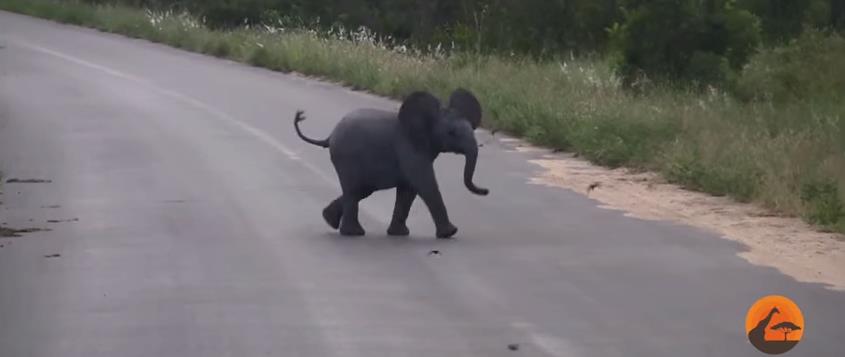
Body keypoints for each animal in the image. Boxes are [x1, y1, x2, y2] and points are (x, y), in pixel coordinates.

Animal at [296, 88, 492, 239]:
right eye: (452, 133)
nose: (486, 191)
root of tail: (330, 136)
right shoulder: (408, 148)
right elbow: (424, 184)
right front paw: (450, 233)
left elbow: (408, 190)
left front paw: (399, 234)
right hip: (347, 157)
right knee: (354, 191)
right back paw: (354, 233)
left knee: (360, 190)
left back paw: (329, 220)